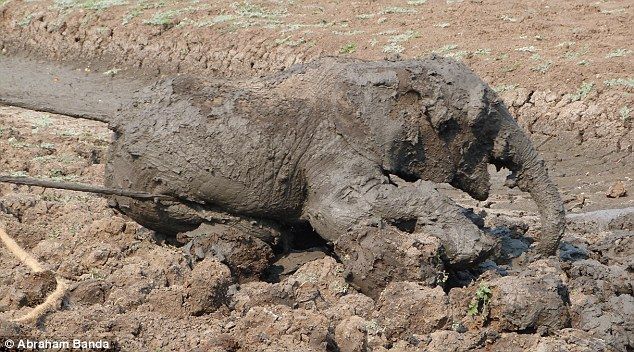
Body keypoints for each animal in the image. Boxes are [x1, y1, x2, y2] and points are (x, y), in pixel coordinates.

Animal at [0, 53, 564, 294]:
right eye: (479, 121)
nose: (534, 253)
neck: (386, 72)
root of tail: (117, 129)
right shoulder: (332, 148)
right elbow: (339, 210)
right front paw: (475, 248)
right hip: (147, 183)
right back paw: (252, 237)